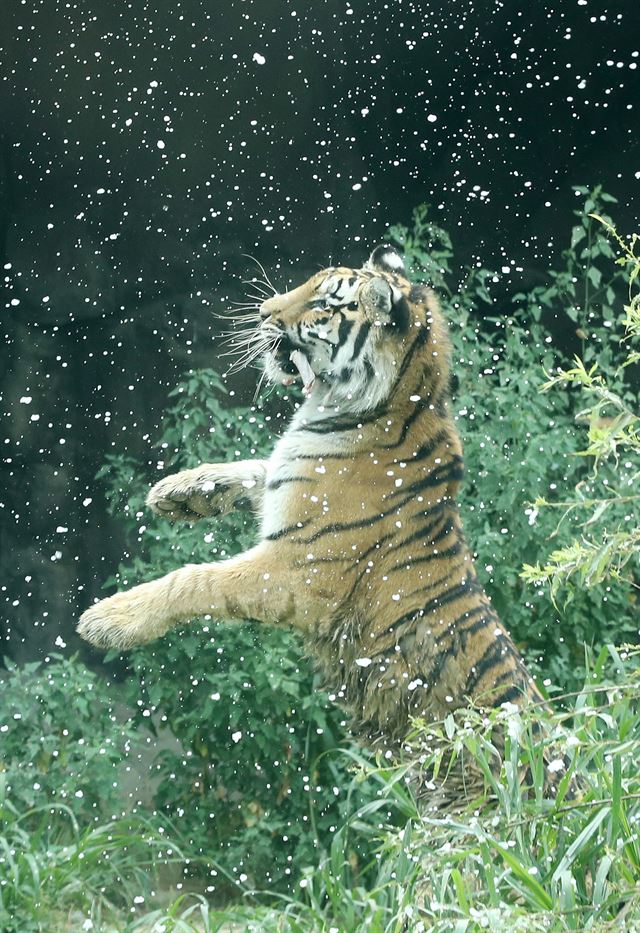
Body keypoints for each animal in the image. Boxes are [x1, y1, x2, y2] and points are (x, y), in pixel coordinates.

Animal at [77, 246, 544, 756]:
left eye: (322, 305)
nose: (263, 312)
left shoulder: (296, 571)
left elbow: (195, 581)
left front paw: (106, 620)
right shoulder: (287, 480)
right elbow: (251, 469)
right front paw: (173, 492)